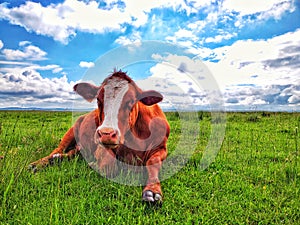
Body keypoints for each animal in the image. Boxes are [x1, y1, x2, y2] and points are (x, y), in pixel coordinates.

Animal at [30, 69, 171, 203]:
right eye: (98, 99)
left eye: (131, 101)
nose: (106, 134)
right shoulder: (101, 147)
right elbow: (110, 165)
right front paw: (93, 164)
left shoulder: (161, 148)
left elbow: (153, 162)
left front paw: (152, 190)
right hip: (71, 132)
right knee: (57, 149)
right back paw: (39, 163)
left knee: (72, 153)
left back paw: (58, 158)